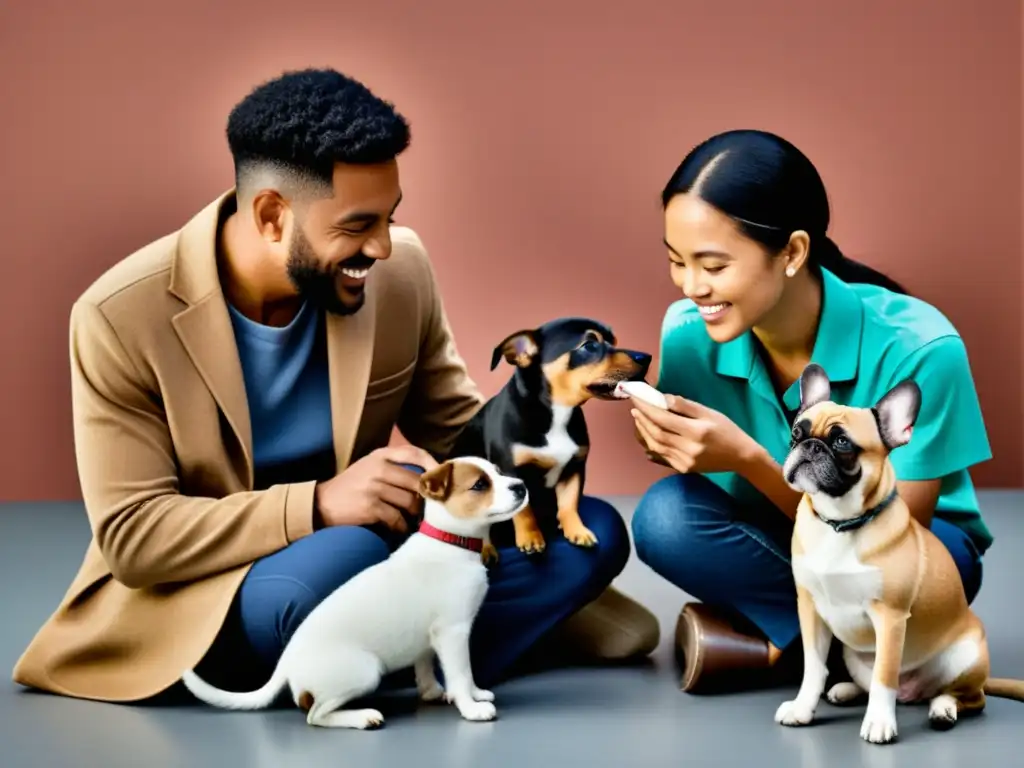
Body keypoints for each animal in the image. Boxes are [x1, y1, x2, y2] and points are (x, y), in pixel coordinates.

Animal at [180, 460, 528, 729]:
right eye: (480, 485)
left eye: (498, 472)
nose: (521, 486)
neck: (449, 540)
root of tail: (286, 663)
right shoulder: (454, 633)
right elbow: (461, 673)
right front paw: (471, 706)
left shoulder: (429, 640)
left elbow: (426, 667)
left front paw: (446, 692)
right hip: (365, 670)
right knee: (315, 715)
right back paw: (361, 717)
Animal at [450, 319, 651, 565]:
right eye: (589, 345)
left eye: (613, 342)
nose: (646, 357)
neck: (558, 411)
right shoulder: (512, 470)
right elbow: (524, 511)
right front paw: (531, 538)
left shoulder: (574, 467)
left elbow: (569, 503)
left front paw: (576, 530)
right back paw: (488, 550)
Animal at [774, 366, 1024, 745]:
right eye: (795, 433)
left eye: (842, 443)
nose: (809, 445)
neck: (839, 523)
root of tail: (916, 692)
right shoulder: (810, 610)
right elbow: (814, 668)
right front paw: (803, 708)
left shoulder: (889, 619)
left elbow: (884, 676)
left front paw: (879, 722)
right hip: (851, 650)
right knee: (870, 681)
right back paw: (846, 690)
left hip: (965, 657)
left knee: (966, 697)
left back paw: (942, 709)